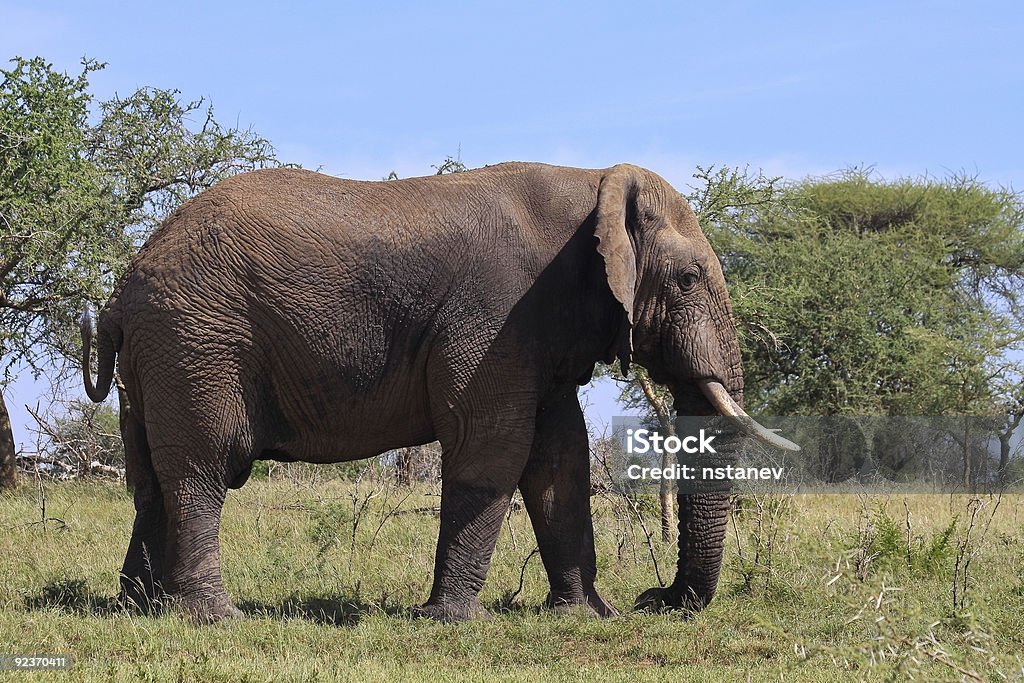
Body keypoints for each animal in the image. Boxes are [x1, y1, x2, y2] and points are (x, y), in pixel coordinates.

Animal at [81, 162, 798, 622]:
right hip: (197, 339)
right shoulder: (498, 310)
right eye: (687, 280)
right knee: (204, 466)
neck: (593, 182)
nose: (659, 599)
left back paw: (137, 607)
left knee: (149, 475)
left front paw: (585, 617)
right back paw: (213, 616)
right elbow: (492, 446)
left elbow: (558, 460)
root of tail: (121, 291)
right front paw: (454, 620)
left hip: (160, 352)